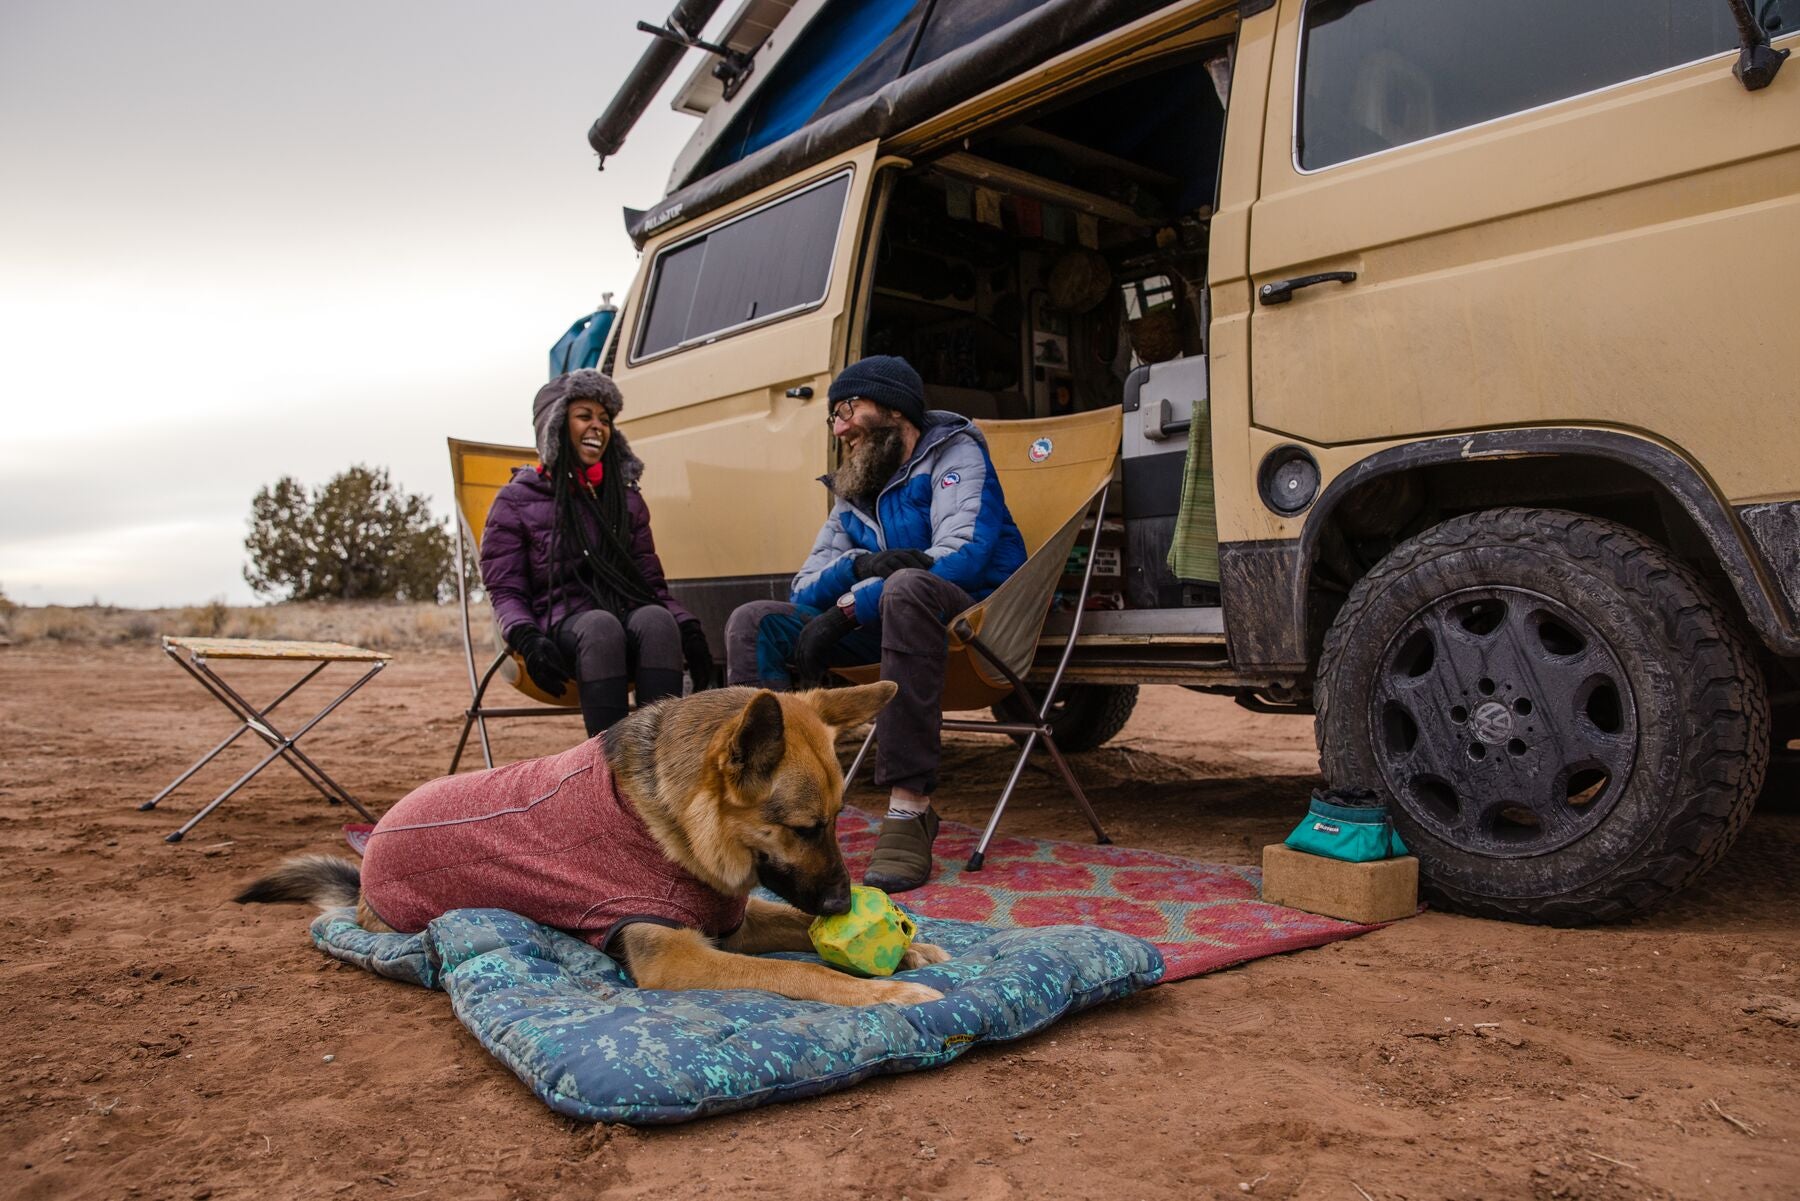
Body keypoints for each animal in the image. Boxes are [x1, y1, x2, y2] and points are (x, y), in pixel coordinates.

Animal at [232, 684, 950, 1008]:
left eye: (838, 819)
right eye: (804, 827)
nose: (842, 905)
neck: (670, 824)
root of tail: (367, 862)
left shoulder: (731, 923)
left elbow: (796, 930)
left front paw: (909, 946)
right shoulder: (677, 956)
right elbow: (800, 971)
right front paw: (882, 994)